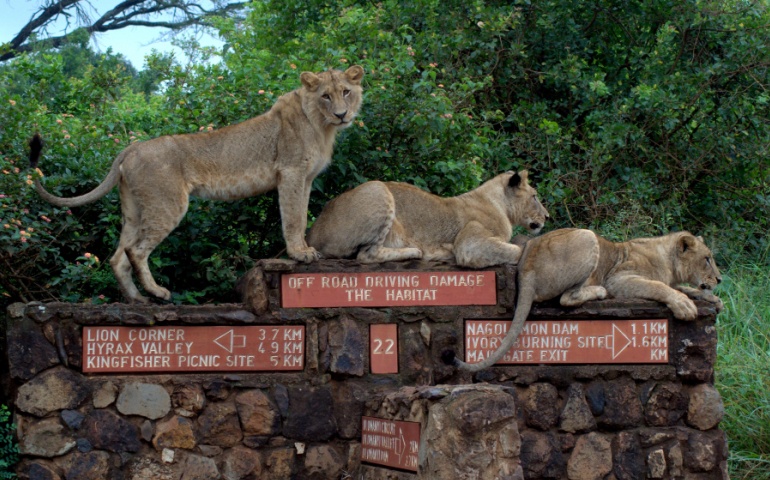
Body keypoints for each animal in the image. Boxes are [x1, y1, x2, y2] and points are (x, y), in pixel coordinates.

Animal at [306, 170, 544, 268]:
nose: (548, 216)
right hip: (378, 188)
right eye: (534, 196)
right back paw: (416, 251)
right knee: (366, 255)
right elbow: (514, 250)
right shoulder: (470, 244)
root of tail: (311, 234)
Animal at [450, 228, 720, 372]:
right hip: (588, 237)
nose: (719, 278)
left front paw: (712, 298)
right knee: (567, 299)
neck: (669, 262)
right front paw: (684, 305)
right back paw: (598, 291)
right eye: (707, 259)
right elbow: (659, 286)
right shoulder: (619, 278)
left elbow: (684, 287)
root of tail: (526, 268)